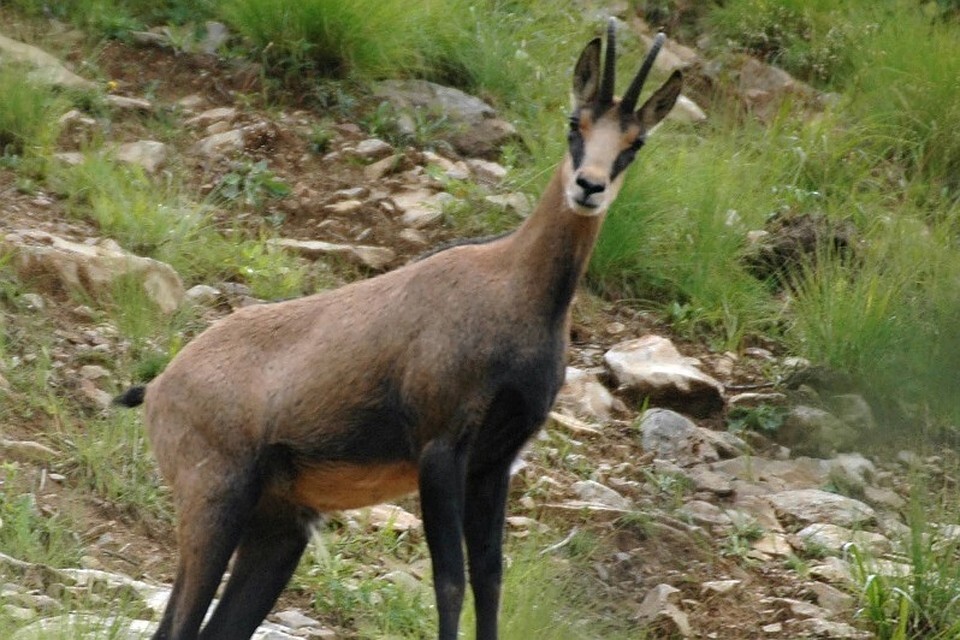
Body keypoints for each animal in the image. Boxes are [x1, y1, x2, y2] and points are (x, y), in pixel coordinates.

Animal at [114, 20, 681, 640]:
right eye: (575, 123)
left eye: (635, 142)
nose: (588, 186)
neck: (513, 289)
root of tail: (159, 386)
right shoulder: (441, 452)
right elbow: (450, 582)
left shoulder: (493, 464)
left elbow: (490, 580)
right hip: (213, 506)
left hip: (276, 531)